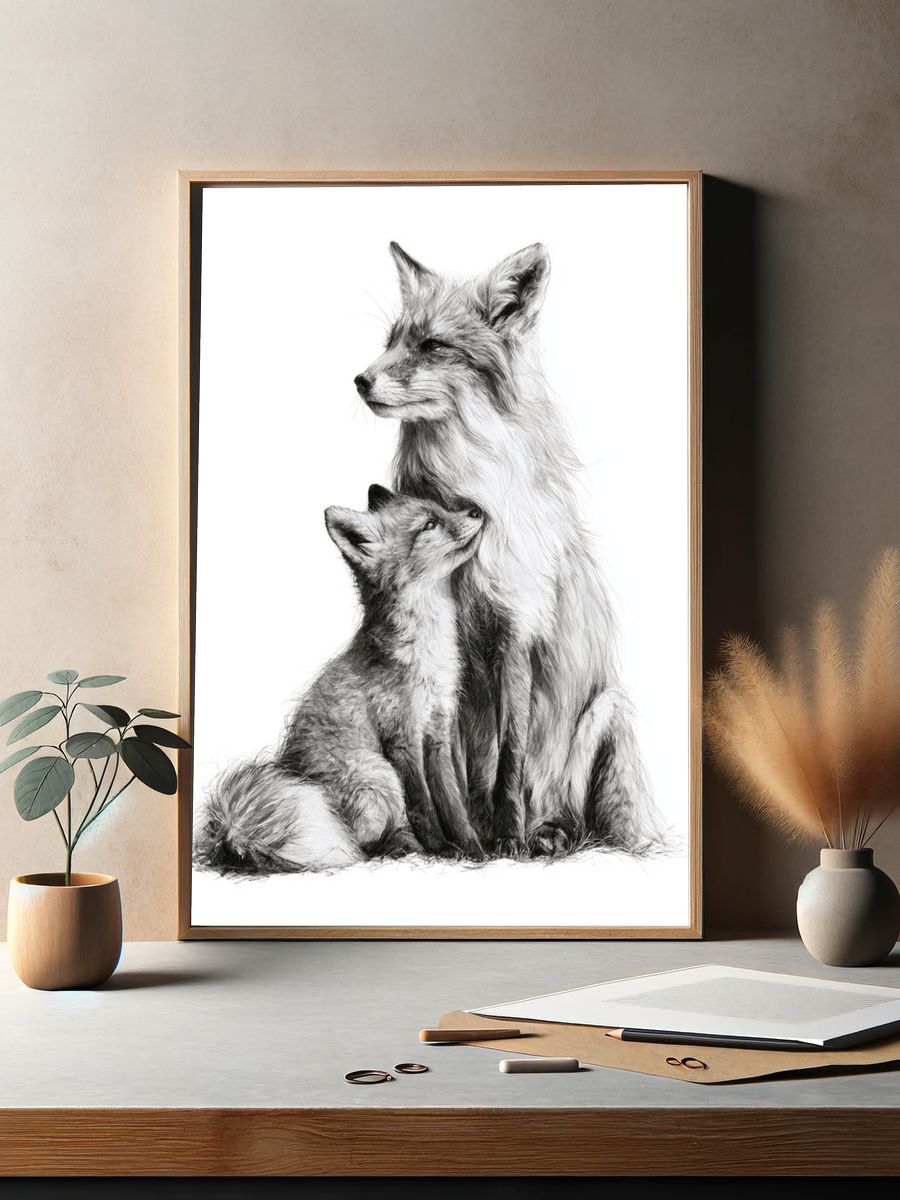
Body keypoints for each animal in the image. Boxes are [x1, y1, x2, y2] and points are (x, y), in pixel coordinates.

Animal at [195, 483, 485, 873]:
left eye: (440, 509)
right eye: (429, 524)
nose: (476, 511)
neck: (428, 654)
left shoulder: (438, 731)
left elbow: (452, 804)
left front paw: (473, 847)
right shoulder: (402, 738)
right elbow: (423, 807)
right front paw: (441, 848)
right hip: (378, 775)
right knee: (360, 845)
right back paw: (404, 846)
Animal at [353, 240, 663, 858]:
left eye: (432, 345)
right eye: (391, 339)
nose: (359, 380)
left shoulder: (515, 630)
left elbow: (511, 753)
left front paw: (506, 835)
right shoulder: (451, 655)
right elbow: (453, 758)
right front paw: (465, 835)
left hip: (610, 713)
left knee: (595, 824)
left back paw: (546, 832)